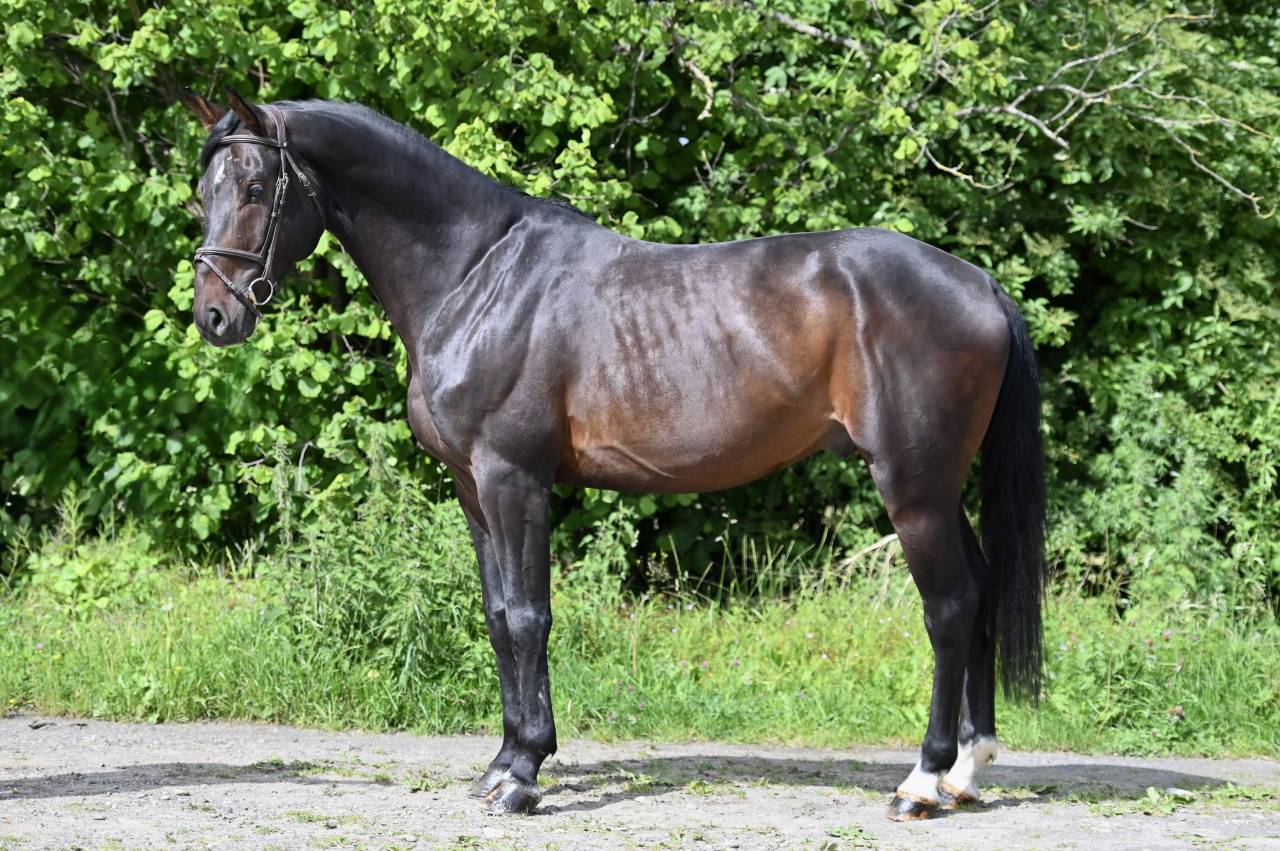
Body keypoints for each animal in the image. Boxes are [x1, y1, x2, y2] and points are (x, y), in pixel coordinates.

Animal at [181, 87, 1046, 821]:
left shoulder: (514, 478)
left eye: (255, 188)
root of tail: (979, 283)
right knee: (978, 594)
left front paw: (523, 777)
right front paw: (502, 761)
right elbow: (498, 617)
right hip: (939, 487)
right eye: (204, 189)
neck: (476, 274)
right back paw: (967, 772)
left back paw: (922, 782)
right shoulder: (472, 488)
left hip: (913, 486)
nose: (215, 315)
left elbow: (528, 615)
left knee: (950, 606)